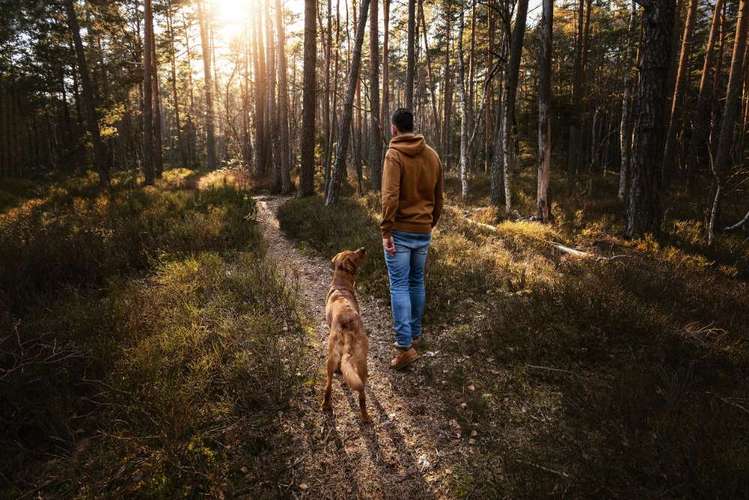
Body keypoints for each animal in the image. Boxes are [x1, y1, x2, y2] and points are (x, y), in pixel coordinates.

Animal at [320, 247, 370, 422]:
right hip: (361, 362)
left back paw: (326, 405)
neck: (341, 285)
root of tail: (348, 322)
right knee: (362, 394)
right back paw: (365, 416)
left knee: (328, 385)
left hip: (331, 356)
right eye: (355, 254)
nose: (363, 248)